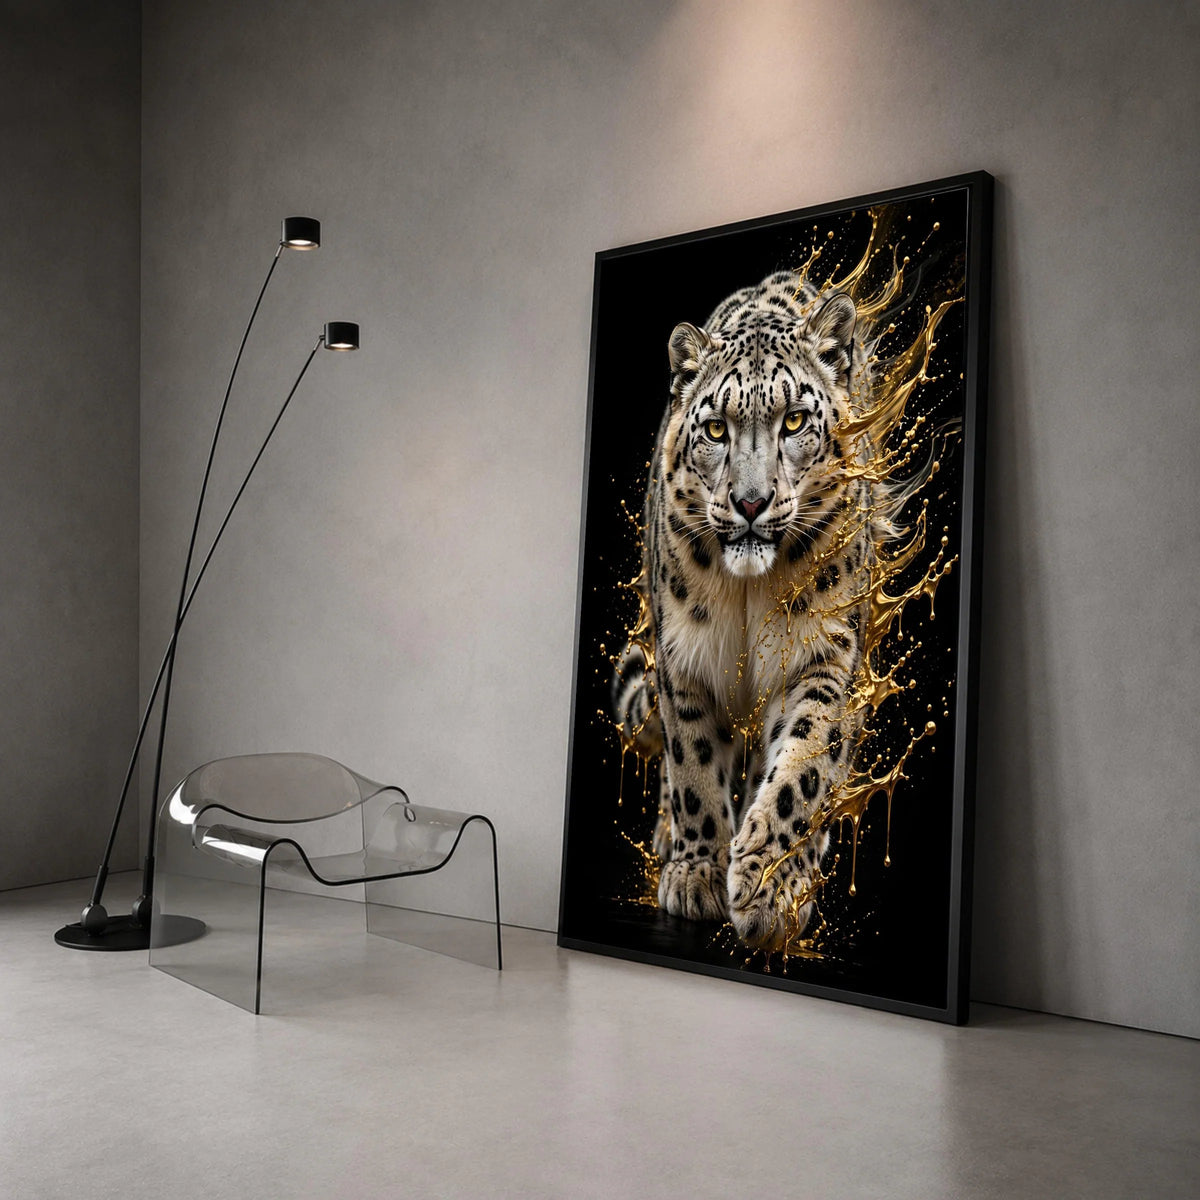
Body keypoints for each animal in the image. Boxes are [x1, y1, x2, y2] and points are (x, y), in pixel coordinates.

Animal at [612, 269, 895, 950]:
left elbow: (804, 764)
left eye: (794, 420)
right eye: (716, 429)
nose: (749, 501)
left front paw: (769, 886)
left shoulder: (823, 655)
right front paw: (697, 874)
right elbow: (692, 763)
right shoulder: (683, 657)